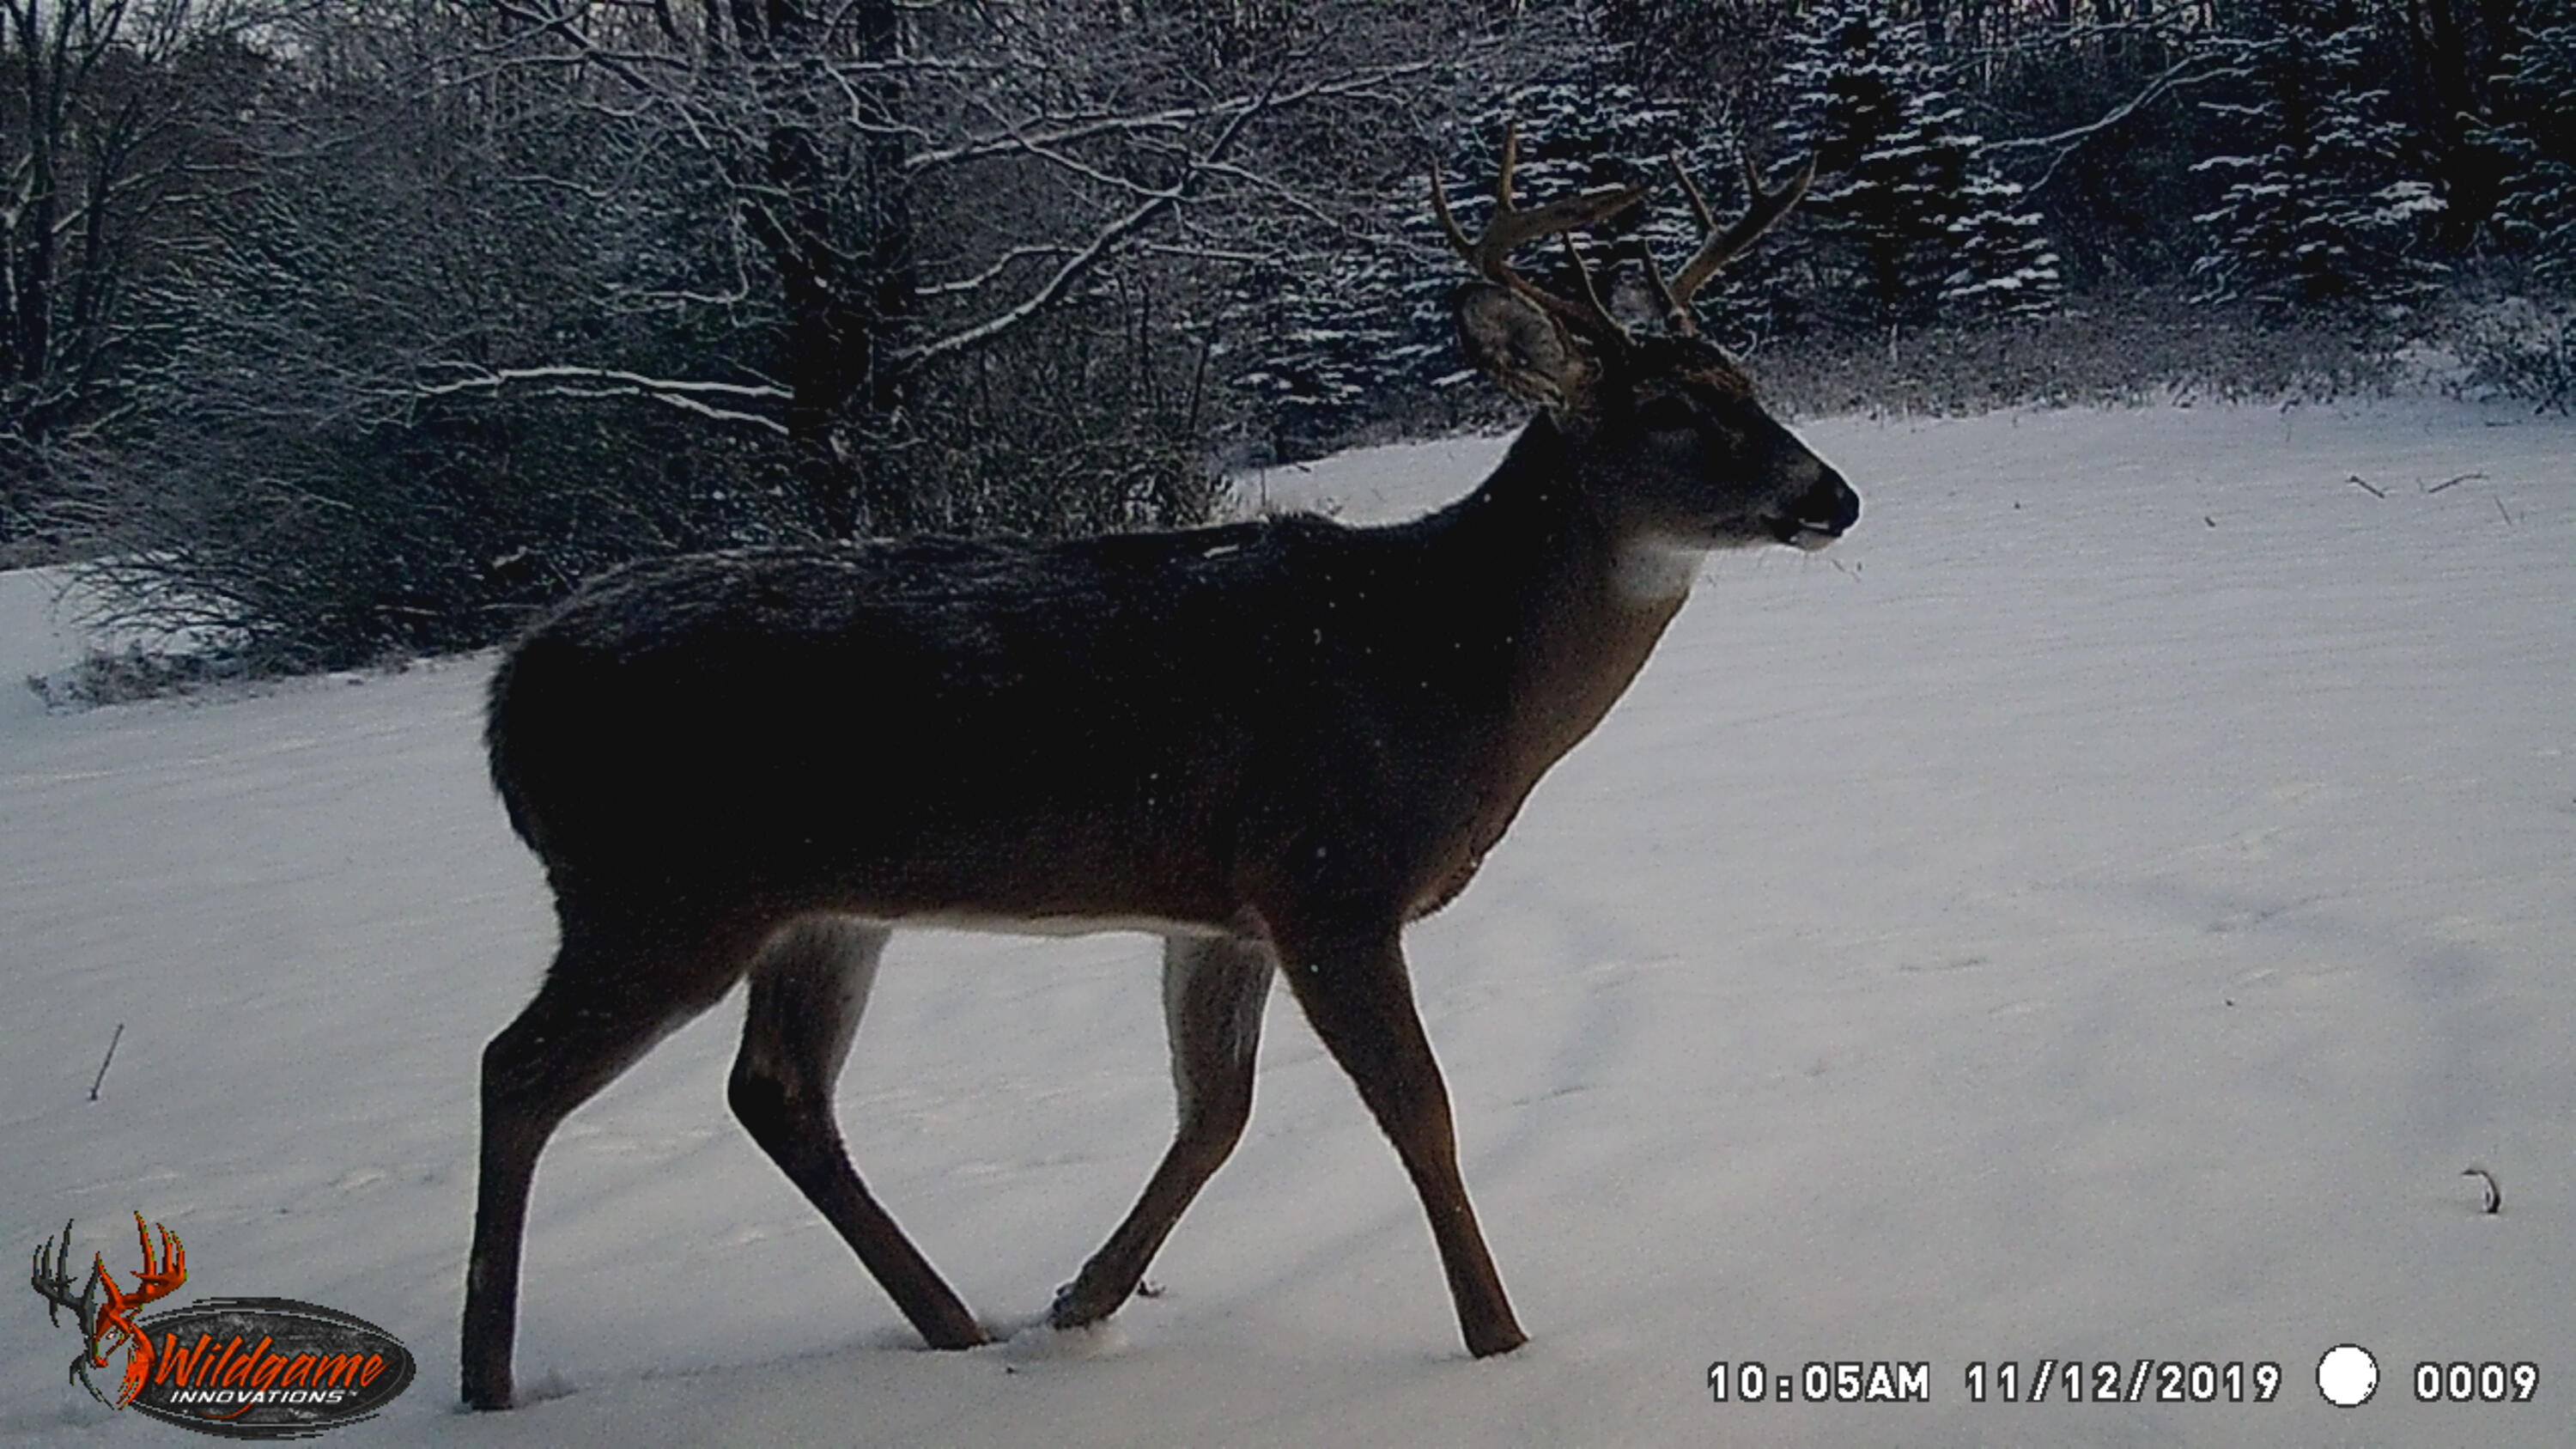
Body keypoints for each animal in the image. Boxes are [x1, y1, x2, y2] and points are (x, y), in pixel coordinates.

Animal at [461, 126, 1856, 1411]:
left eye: (1748, 379)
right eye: (1669, 411)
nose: (1832, 495)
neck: (1445, 664)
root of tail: (505, 694)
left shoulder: (1225, 905)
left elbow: (1214, 1113)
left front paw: (1080, 1300)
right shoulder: (1326, 873)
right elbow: (1420, 1106)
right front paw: (1501, 1342)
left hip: (815, 906)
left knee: (776, 1090)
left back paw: (955, 1325)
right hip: (658, 888)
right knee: (516, 1070)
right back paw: (489, 1378)